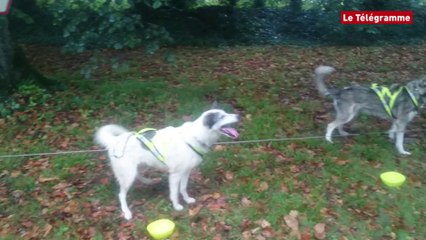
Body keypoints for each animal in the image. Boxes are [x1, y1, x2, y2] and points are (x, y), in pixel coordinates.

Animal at [94, 109, 240, 219]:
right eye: (222, 116)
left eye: (226, 112)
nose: (239, 115)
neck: (196, 136)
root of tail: (114, 141)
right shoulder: (175, 175)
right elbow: (174, 193)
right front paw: (177, 206)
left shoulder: (186, 172)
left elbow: (183, 188)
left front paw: (187, 200)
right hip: (128, 174)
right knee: (121, 195)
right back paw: (127, 212)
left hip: (139, 166)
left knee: (138, 175)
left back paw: (148, 181)